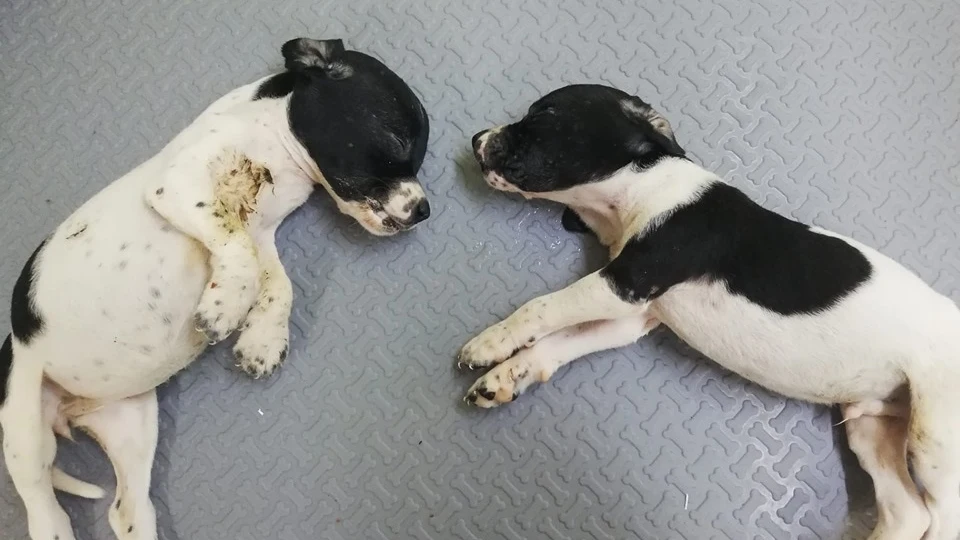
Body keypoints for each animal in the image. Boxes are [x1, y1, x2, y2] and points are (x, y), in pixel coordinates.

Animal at [462, 83, 956, 540]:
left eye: (544, 114)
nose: (476, 138)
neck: (643, 184)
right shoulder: (632, 316)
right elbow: (556, 343)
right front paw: (506, 376)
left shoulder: (625, 285)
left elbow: (541, 307)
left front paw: (490, 342)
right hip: (873, 427)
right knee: (907, 513)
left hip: (933, 441)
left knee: (941, 515)